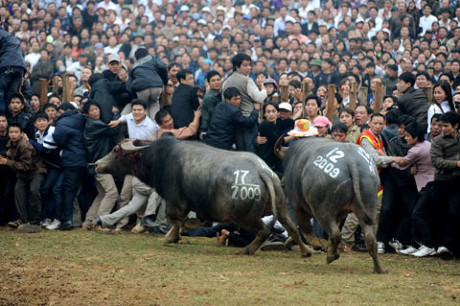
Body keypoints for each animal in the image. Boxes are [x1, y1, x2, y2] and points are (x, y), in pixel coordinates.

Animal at [95, 138, 314, 256]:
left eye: (116, 150)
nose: (96, 164)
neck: (160, 158)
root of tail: (263, 172)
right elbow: (180, 221)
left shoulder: (175, 201)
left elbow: (176, 220)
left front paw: (172, 237)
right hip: (282, 208)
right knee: (293, 228)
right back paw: (306, 250)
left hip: (245, 217)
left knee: (264, 231)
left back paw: (247, 250)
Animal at [284, 137, 384, 274]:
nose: (282, 182)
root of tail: (352, 160)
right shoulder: (341, 213)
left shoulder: (297, 207)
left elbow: (305, 228)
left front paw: (314, 246)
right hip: (368, 206)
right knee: (370, 239)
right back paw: (378, 268)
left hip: (323, 210)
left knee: (335, 233)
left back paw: (331, 255)